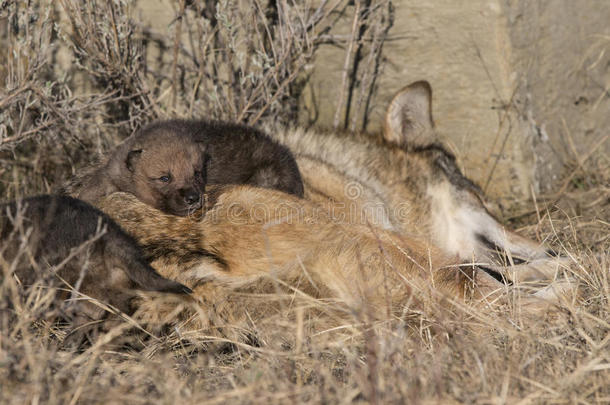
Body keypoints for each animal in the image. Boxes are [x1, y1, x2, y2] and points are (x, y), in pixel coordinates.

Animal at [98, 80, 568, 332]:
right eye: (481, 199)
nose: (551, 245)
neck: (351, 175)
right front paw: (563, 264)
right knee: (496, 301)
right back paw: (569, 285)